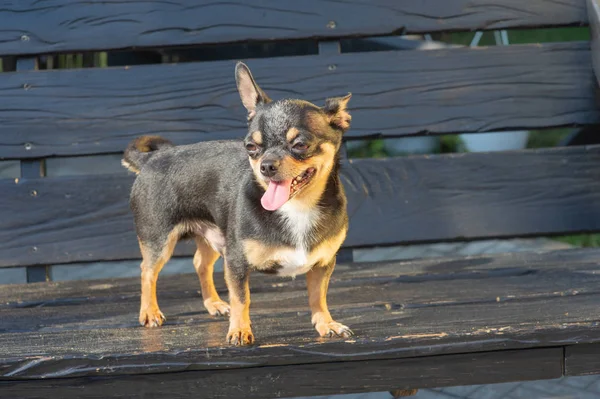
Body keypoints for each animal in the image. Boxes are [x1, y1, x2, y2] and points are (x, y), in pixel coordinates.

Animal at [123, 61, 354, 346]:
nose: (266, 165)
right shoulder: (236, 262)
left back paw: (213, 304)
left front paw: (326, 324)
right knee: (147, 271)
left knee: (200, 263)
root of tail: (151, 159)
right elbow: (242, 298)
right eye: (251, 147)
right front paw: (240, 330)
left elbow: (318, 296)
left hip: (214, 235)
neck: (297, 208)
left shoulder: (323, 264)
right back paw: (150, 312)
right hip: (159, 239)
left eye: (300, 144)